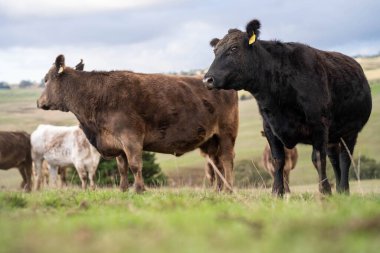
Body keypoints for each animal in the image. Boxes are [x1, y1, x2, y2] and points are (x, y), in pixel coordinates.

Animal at [36, 55, 238, 193]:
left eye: (46, 79)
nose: (39, 102)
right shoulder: (117, 142)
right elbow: (122, 167)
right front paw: (123, 189)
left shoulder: (130, 137)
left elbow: (134, 164)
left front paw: (139, 188)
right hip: (210, 140)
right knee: (216, 163)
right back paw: (218, 190)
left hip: (226, 133)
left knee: (226, 160)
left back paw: (228, 189)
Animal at [203, 18, 372, 196]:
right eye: (215, 51)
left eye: (234, 48)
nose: (207, 79)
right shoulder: (269, 127)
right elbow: (278, 160)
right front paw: (277, 192)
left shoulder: (319, 124)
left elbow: (318, 158)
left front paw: (325, 191)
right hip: (334, 135)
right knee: (334, 158)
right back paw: (340, 190)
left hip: (350, 131)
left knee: (345, 158)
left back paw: (344, 189)